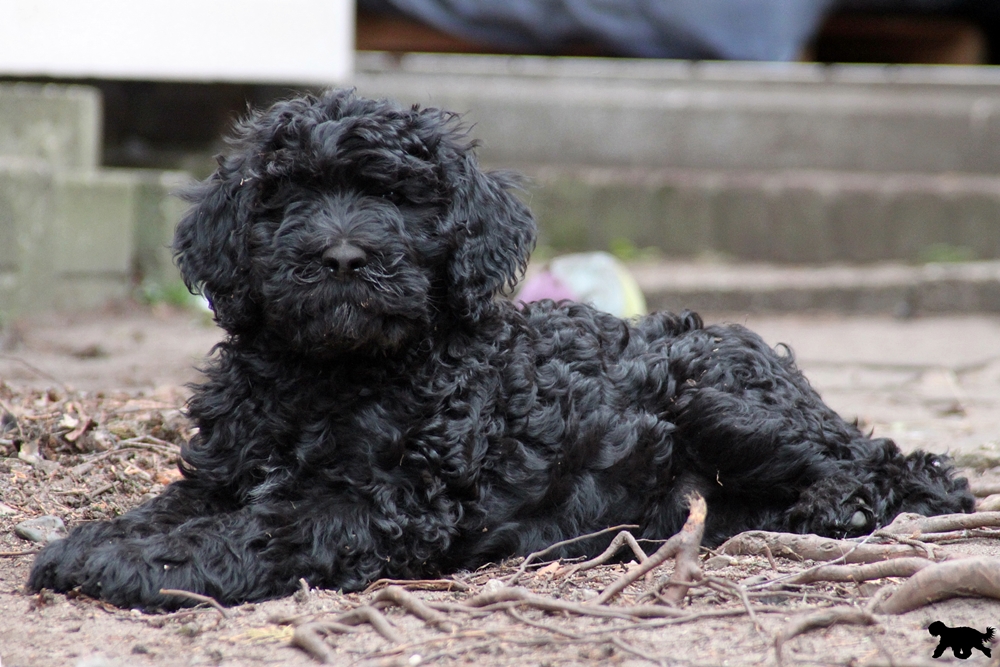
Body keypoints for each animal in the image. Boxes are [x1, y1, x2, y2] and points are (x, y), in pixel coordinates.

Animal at [28, 89, 974, 609]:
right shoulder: (226, 469)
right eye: (283, 199)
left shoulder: (386, 498)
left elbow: (256, 526)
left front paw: (133, 564)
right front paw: (99, 538)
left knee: (907, 463)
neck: (329, 372)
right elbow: (179, 507)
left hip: (722, 400)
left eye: (399, 199)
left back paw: (840, 504)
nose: (342, 256)